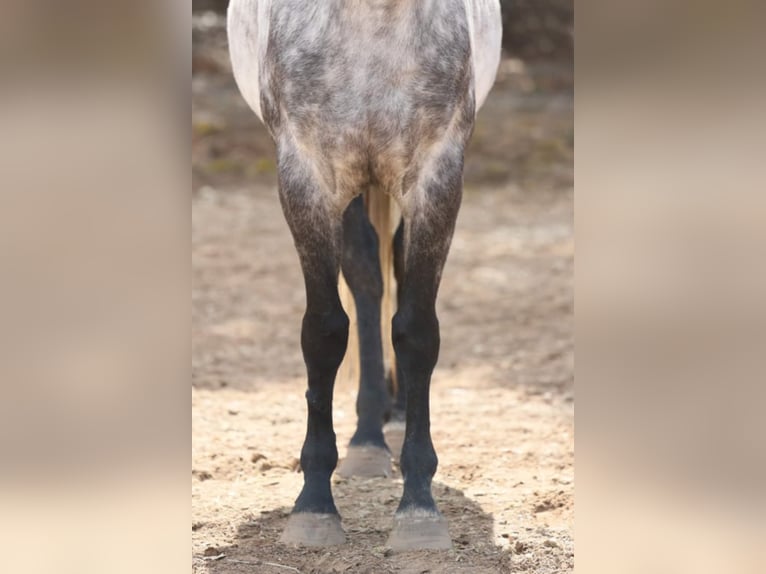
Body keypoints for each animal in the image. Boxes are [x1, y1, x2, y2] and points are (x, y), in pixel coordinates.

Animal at [228, 0, 504, 552]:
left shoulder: (438, 177)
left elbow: (416, 332)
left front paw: (418, 506)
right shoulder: (306, 179)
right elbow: (325, 332)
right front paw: (314, 505)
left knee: (391, 268)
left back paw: (390, 419)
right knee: (365, 276)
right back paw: (367, 440)